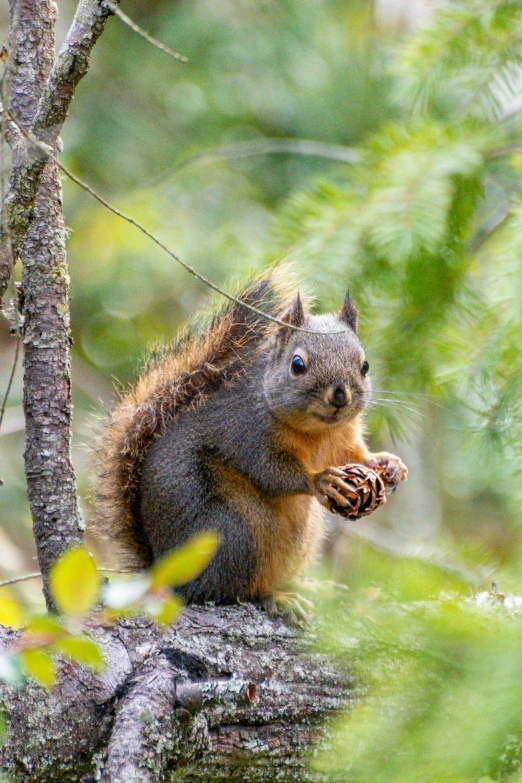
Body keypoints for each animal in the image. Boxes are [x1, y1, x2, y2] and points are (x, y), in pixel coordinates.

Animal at [90, 266, 406, 616]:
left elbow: (352, 455)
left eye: (365, 365)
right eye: (297, 364)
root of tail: (166, 574)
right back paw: (277, 598)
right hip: (233, 534)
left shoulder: (343, 437)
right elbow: (270, 471)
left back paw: (303, 587)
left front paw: (387, 464)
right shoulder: (246, 432)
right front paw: (321, 480)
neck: (318, 432)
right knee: (234, 590)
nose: (339, 396)